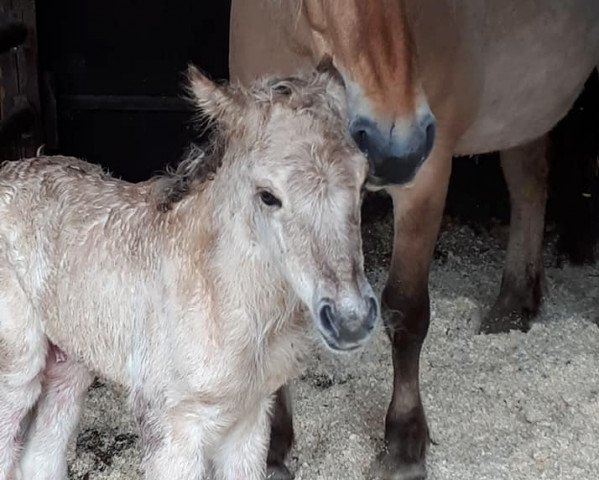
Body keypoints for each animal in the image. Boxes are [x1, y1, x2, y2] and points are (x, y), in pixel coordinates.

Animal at [0, 65, 376, 478]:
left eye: (363, 184)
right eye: (267, 195)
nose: (351, 319)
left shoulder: (250, 418)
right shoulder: (172, 427)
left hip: (70, 360)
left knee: (40, 456)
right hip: (16, 366)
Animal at [229, 1, 599, 478]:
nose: (395, 143)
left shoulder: (425, 180)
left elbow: (406, 310)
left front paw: (404, 444)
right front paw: (272, 445)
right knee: (529, 180)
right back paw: (514, 303)